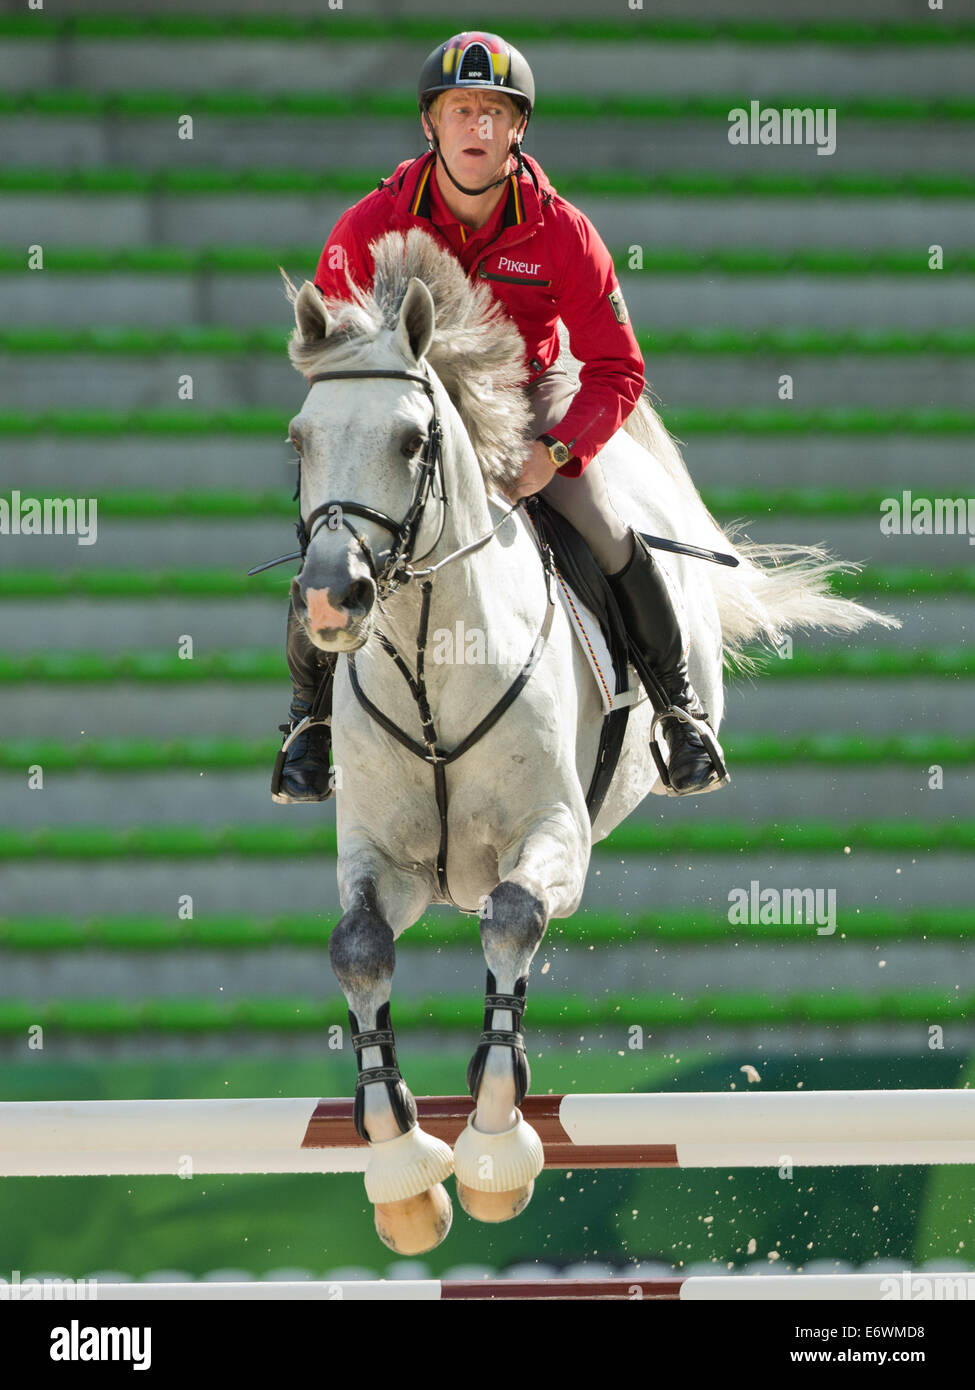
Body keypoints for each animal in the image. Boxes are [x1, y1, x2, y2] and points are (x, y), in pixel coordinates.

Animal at [278, 225, 895, 1251]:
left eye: (411, 441)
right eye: (300, 440)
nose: (331, 598)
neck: (432, 664)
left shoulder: (553, 836)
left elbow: (514, 917)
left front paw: (492, 1147)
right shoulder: (379, 857)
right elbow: (358, 949)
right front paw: (402, 1173)